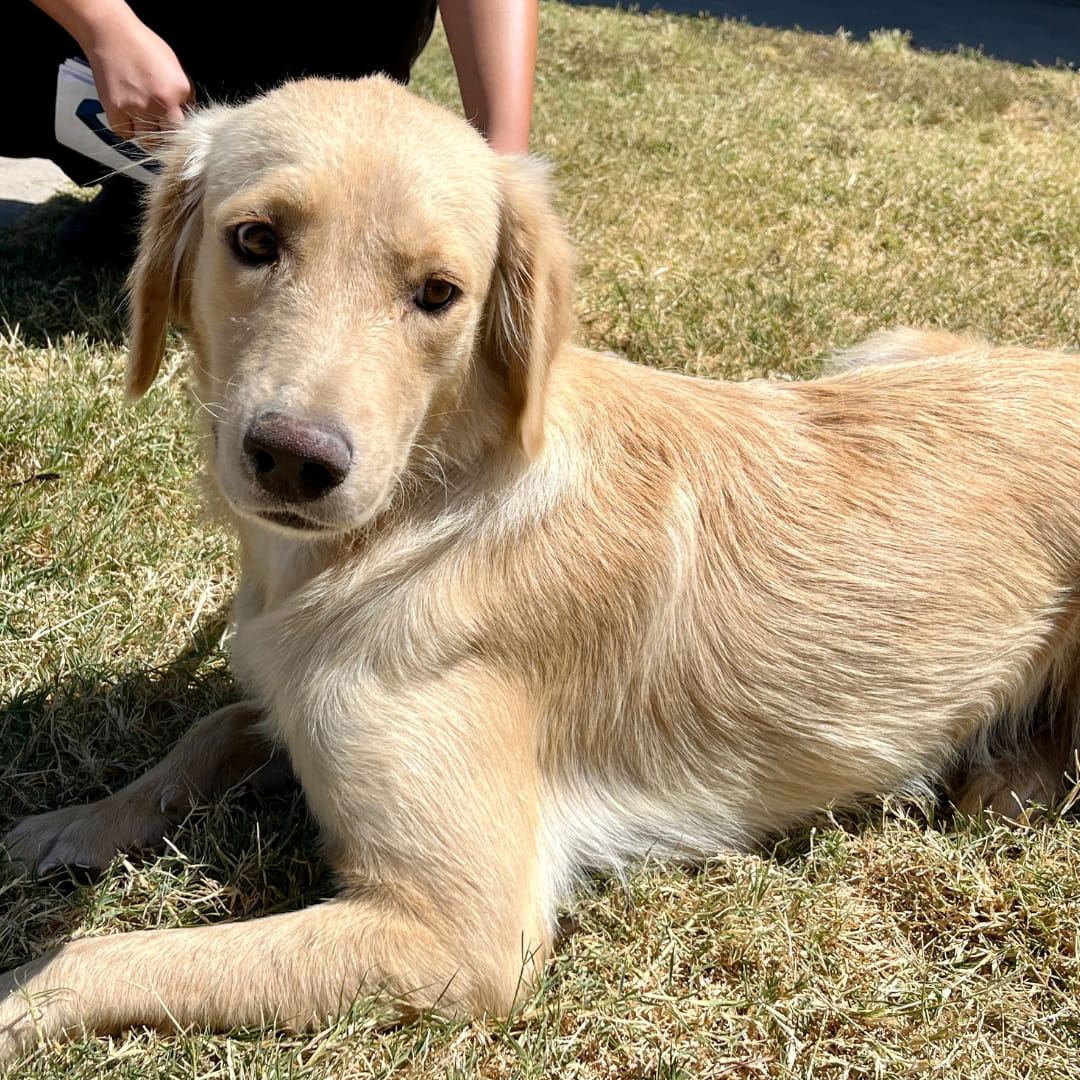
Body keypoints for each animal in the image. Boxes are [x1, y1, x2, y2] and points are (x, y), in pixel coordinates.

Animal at [2, 78, 1080, 1062]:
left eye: (439, 293)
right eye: (256, 240)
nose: (295, 459)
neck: (419, 514)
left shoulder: (462, 934)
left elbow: (95, 955)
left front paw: (21, 992)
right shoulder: (293, 703)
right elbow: (214, 727)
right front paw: (72, 825)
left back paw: (1006, 777)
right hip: (885, 348)